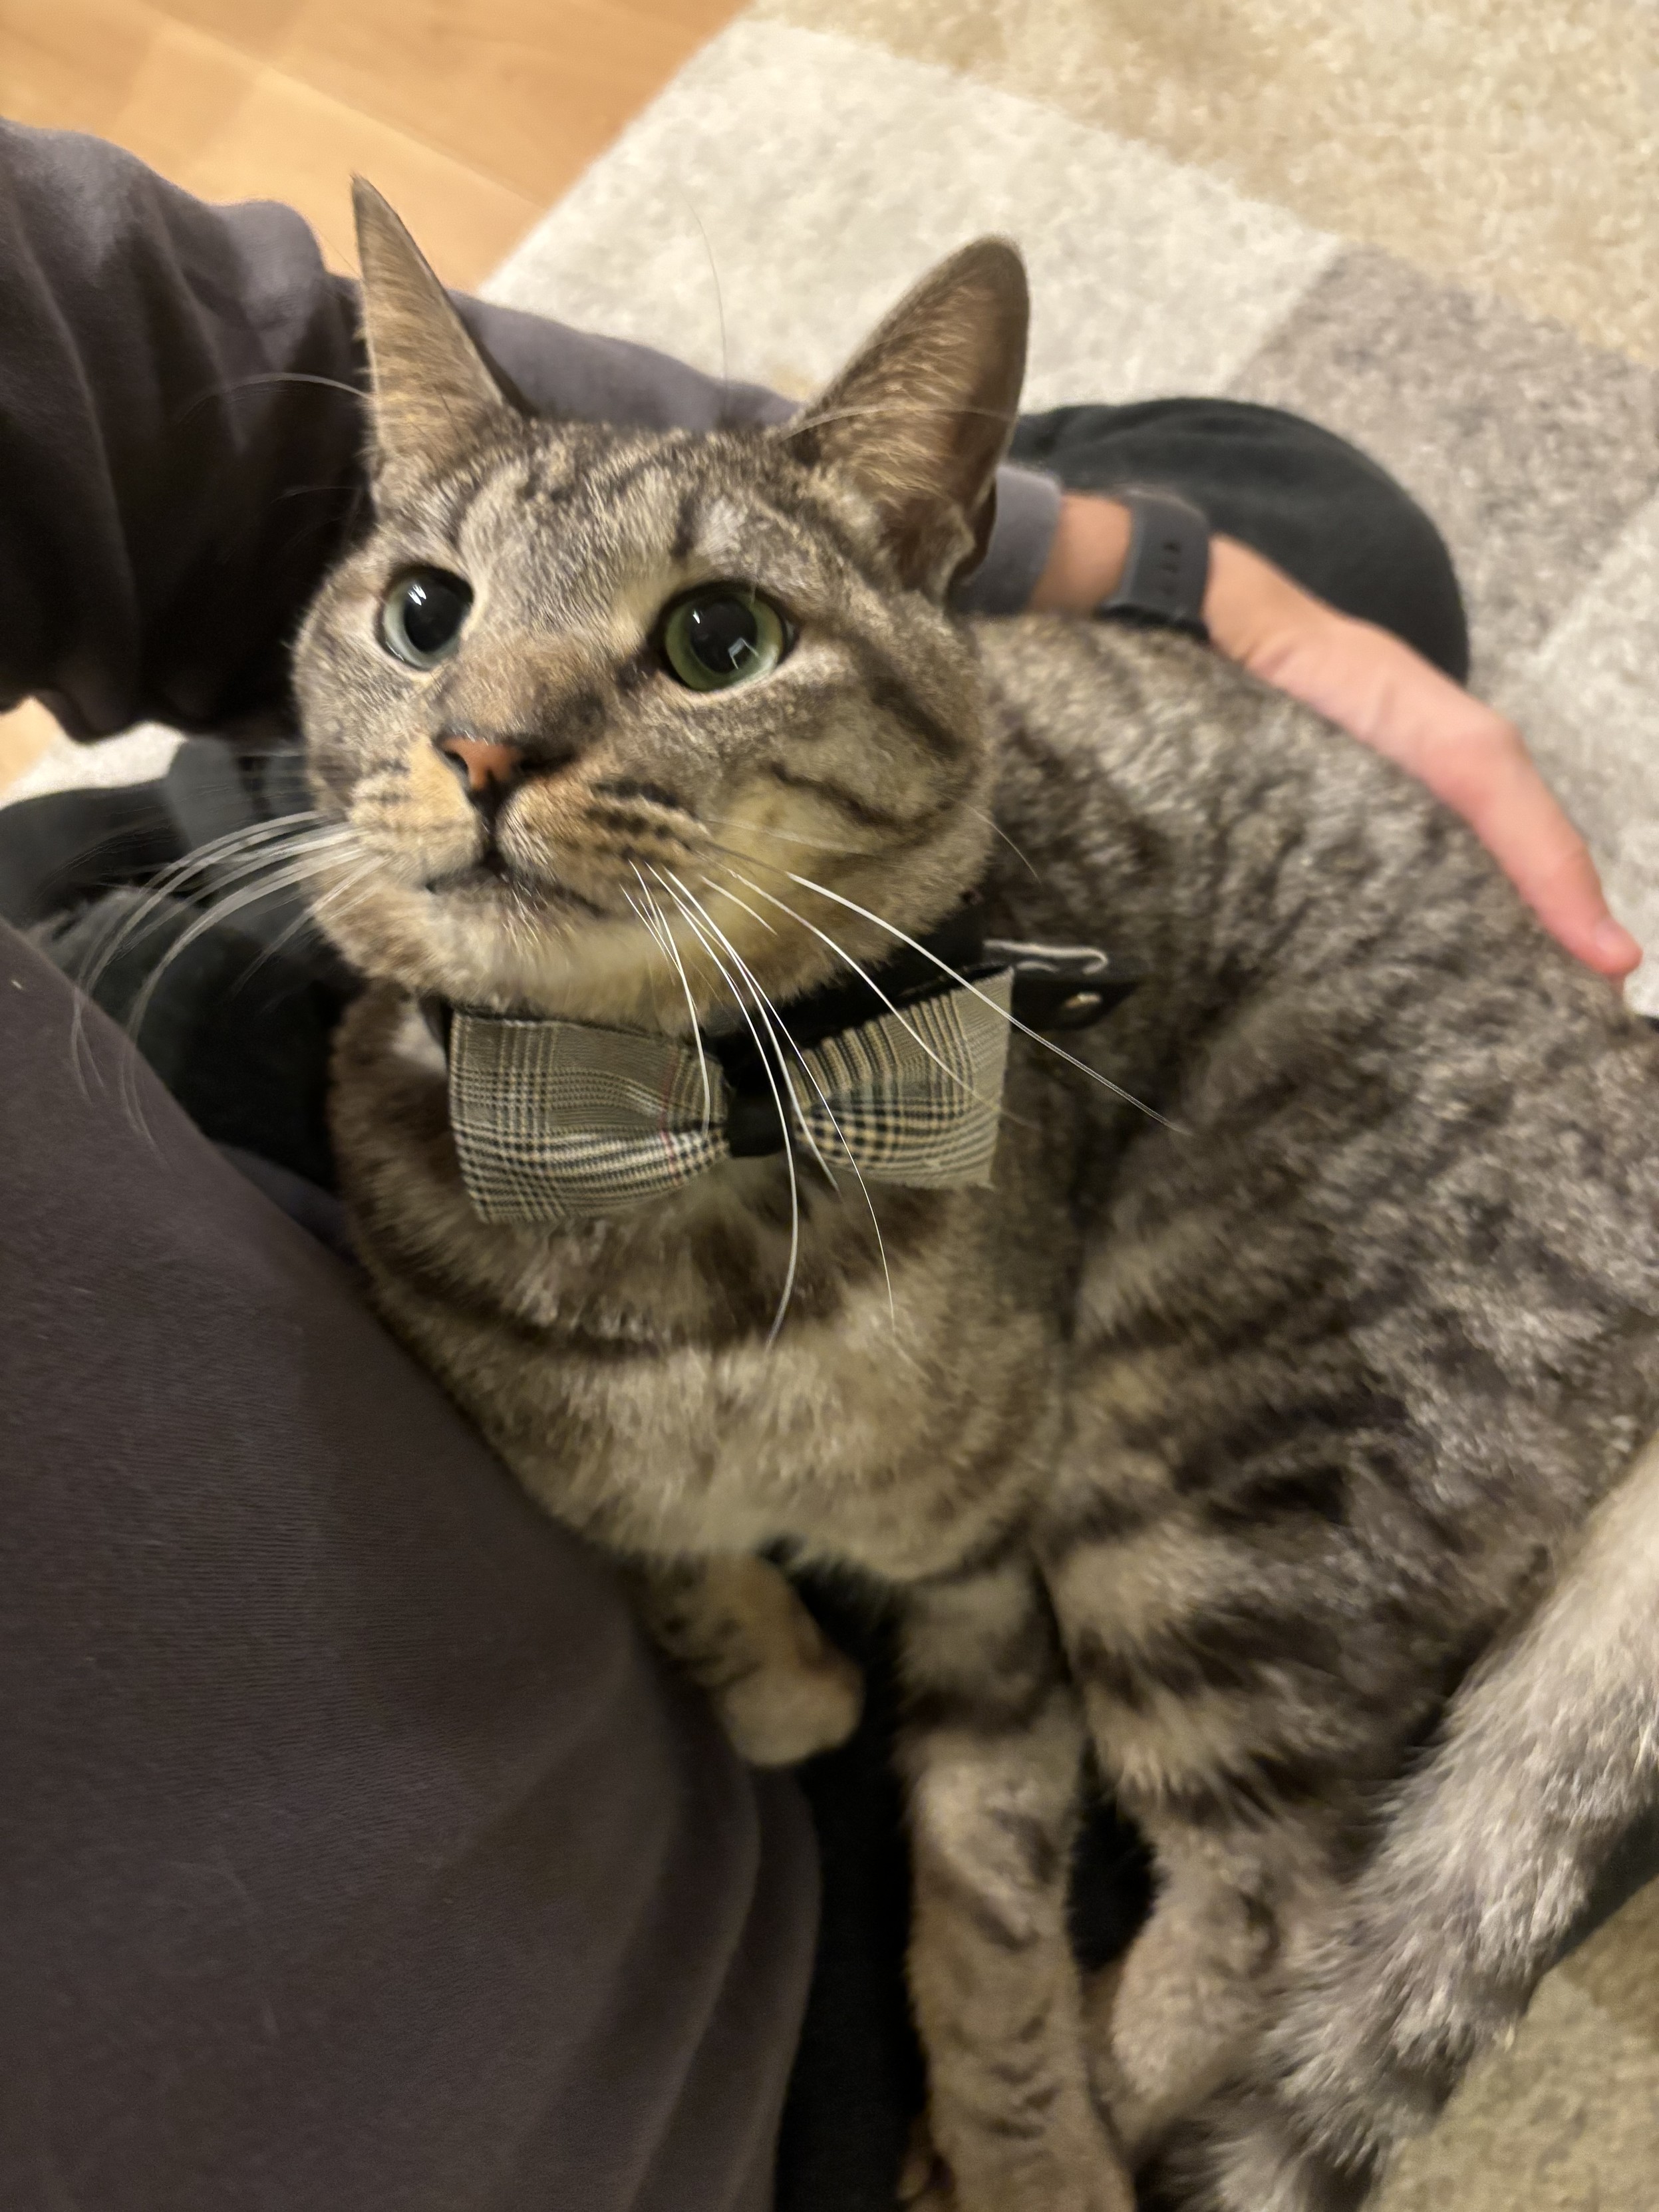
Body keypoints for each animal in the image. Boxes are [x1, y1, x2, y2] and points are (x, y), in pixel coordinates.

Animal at [290, 181, 1659, 2212]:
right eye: (421, 611)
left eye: (716, 636)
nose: (484, 745)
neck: (676, 1130)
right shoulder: (538, 1440)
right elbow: (671, 1558)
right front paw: (776, 1673)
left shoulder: (985, 1571)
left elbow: (991, 1897)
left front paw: (1026, 2136)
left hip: (1199, 1461)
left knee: (1282, 1901)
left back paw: (1090, 2088)